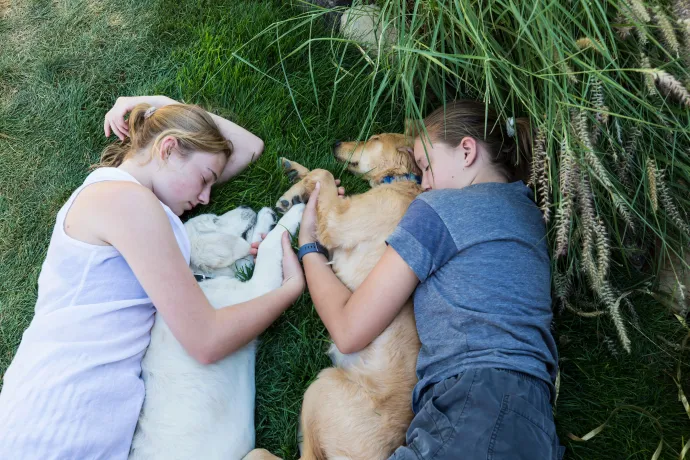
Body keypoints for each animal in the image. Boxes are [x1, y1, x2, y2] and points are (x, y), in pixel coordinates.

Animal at [128, 203, 304, 460]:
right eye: (214, 220)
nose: (245, 205)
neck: (200, 280)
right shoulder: (255, 294)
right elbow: (268, 249)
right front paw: (295, 214)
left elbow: (252, 251)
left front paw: (265, 219)